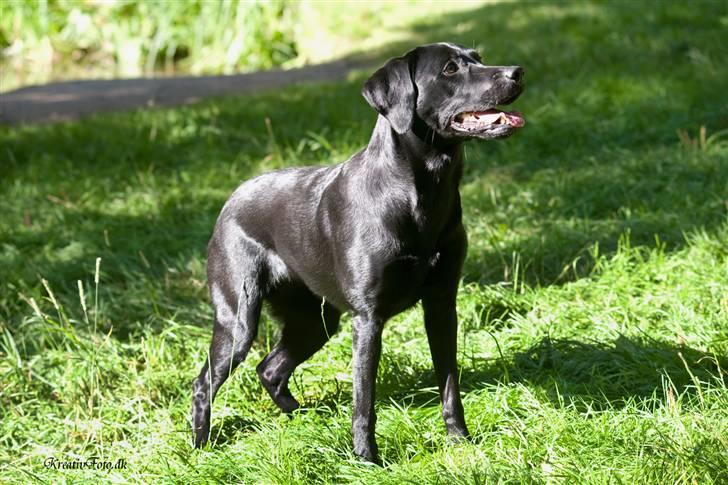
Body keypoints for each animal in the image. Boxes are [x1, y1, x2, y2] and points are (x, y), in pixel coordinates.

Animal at [193, 44, 524, 462]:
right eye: (450, 69)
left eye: (477, 56)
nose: (517, 72)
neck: (420, 194)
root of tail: (230, 200)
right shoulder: (368, 319)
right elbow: (364, 400)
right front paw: (366, 461)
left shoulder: (441, 304)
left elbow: (449, 383)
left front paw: (459, 441)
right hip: (238, 320)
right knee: (205, 382)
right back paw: (200, 448)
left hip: (315, 322)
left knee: (269, 369)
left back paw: (302, 420)